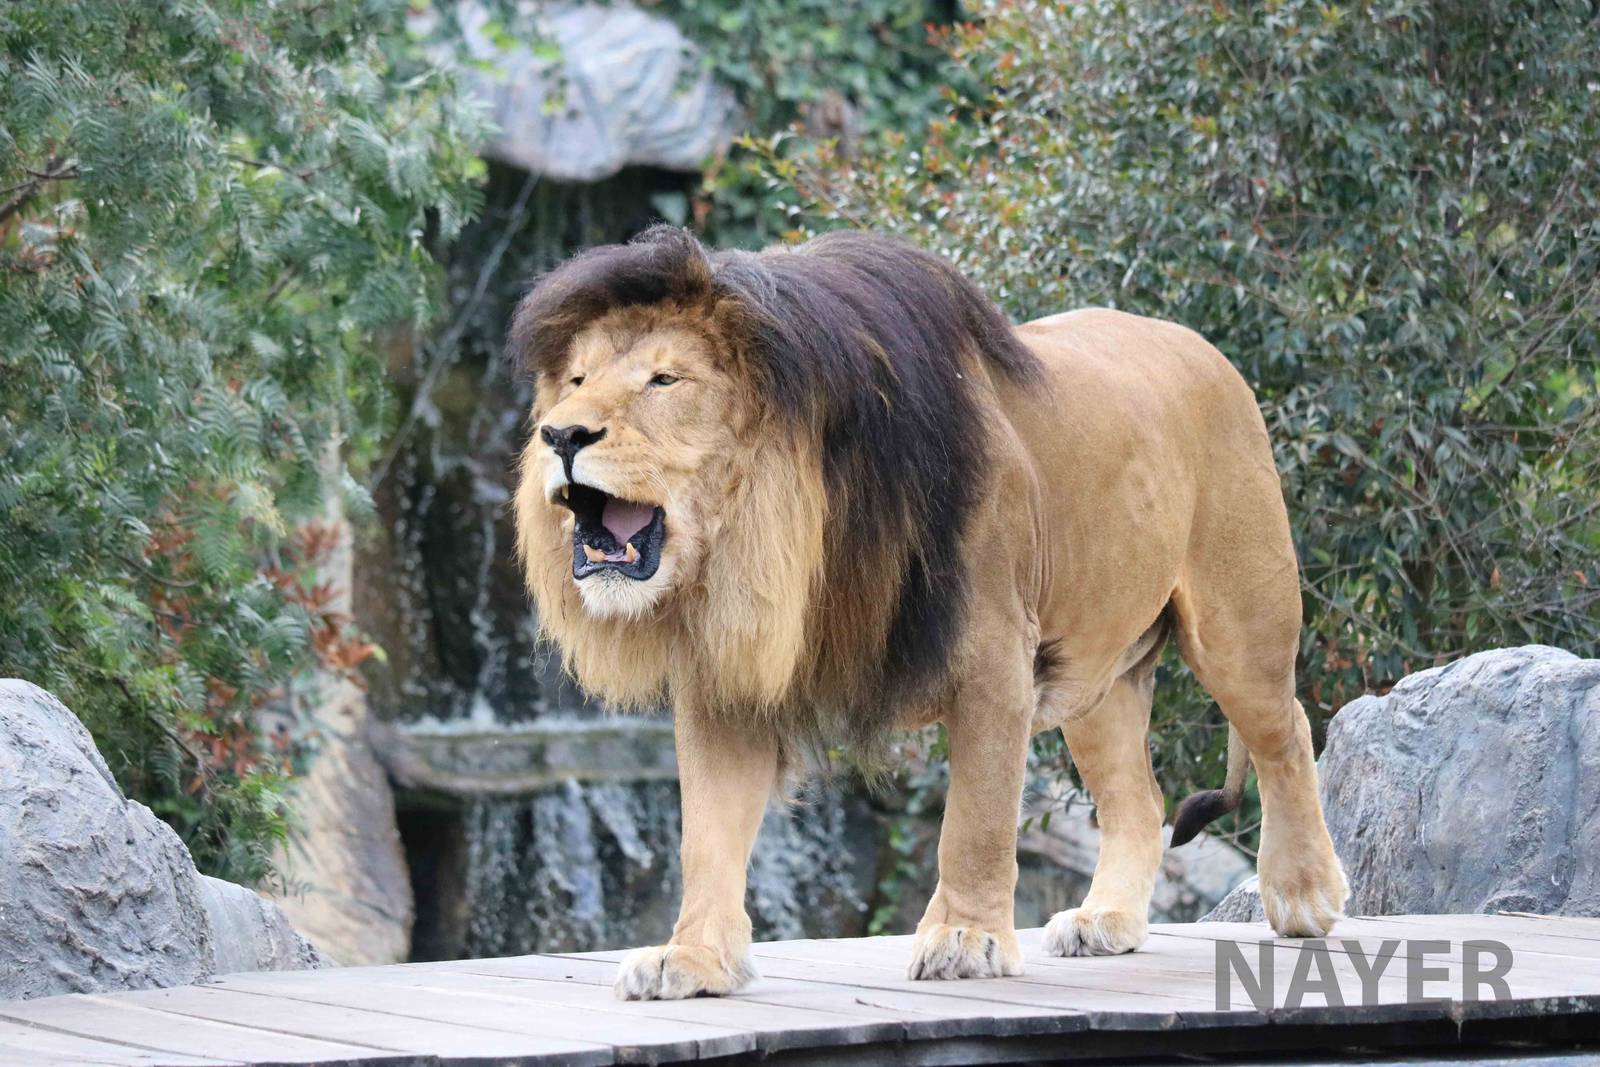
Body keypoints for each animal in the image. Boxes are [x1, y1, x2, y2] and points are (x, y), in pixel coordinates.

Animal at [509, 226, 1348, 1001]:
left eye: (664, 379)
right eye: (576, 378)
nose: (562, 433)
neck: (795, 521)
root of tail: (1203, 347)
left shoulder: (994, 664)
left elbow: (975, 820)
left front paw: (966, 939)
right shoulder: (728, 681)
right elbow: (708, 836)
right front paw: (691, 958)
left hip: (1238, 622)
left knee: (1286, 733)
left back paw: (1304, 892)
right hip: (1097, 677)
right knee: (1138, 798)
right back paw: (1105, 921)